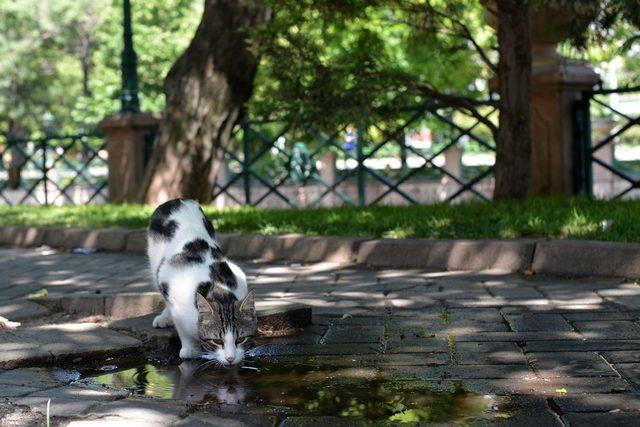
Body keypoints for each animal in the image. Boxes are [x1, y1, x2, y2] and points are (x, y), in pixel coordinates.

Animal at [146, 198, 256, 368]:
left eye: (240, 339)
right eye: (217, 341)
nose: (230, 358)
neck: (219, 288)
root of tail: (177, 200)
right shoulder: (173, 291)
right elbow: (182, 329)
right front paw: (189, 349)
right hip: (155, 260)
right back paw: (163, 318)